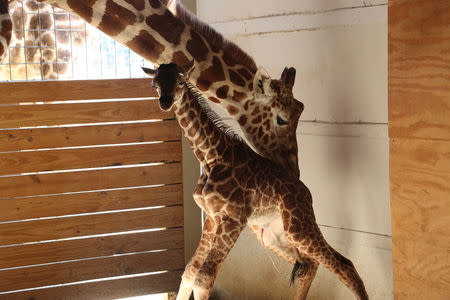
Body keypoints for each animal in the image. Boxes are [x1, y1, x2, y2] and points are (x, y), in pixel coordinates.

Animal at [142, 61, 368, 300]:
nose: (165, 102)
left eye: (180, 81)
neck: (210, 156)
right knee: (311, 265)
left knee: (344, 265)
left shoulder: (233, 218)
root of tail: (307, 193)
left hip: (299, 227)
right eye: (155, 84)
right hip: (273, 236)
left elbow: (204, 278)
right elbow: (190, 271)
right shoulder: (211, 218)